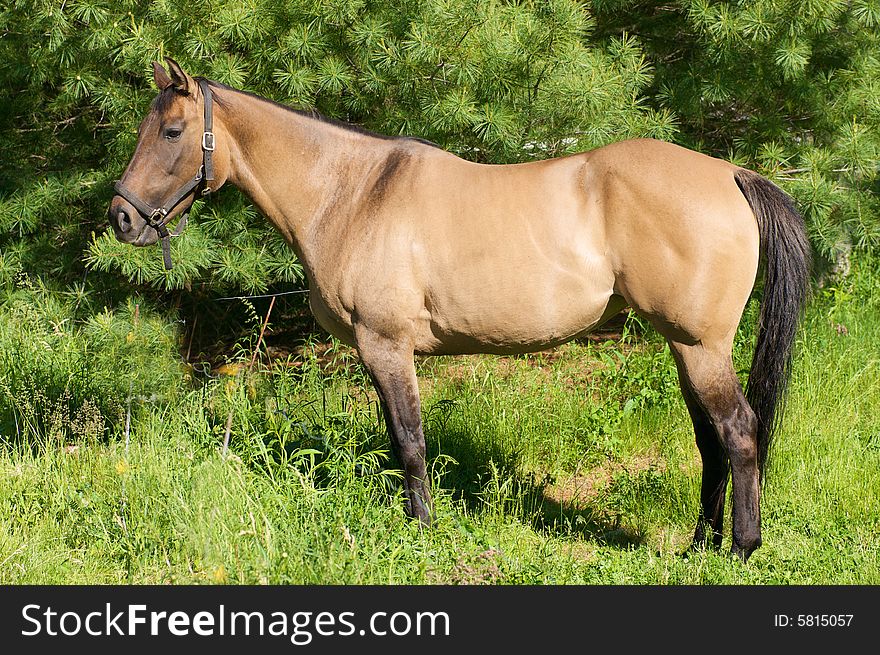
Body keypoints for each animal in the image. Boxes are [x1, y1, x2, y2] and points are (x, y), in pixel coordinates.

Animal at [106, 59, 808, 564]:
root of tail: (731, 174)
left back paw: (741, 549)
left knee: (738, 432)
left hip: (700, 346)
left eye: (172, 132)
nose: (121, 220)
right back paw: (699, 546)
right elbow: (400, 441)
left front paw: (421, 529)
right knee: (710, 440)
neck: (352, 192)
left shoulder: (386, 345)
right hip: (685, 347)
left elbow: (410, 441)